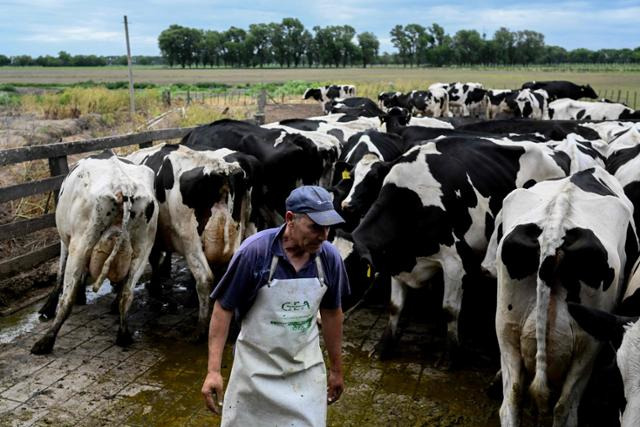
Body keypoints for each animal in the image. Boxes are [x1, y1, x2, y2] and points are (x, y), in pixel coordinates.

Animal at [31, 153, 159, 354]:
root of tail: (123, 185)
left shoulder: (65, 240)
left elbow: (60, 275)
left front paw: (48, 308)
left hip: (81, 243)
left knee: (67, 298)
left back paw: (46, 341)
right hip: (143, 247)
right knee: (127, 294)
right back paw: (123, 335)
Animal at [127, 144, 252, 342]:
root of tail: (221, 169)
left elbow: (154, 258)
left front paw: (155, 287)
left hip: (190, 240)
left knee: (204, 279)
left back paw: (200, 329)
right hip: (239, 232)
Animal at [350, 138, 568, 362]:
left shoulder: (455, 262)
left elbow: (449, 310)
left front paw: (451, 355)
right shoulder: (396, 261)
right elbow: (395, 306)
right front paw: (383, 346)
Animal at [482, 168, 636, 427]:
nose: (485, 268)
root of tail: (555, 227)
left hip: (506, 327)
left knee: (511, 400)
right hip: (587, 344)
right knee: (565, 407)